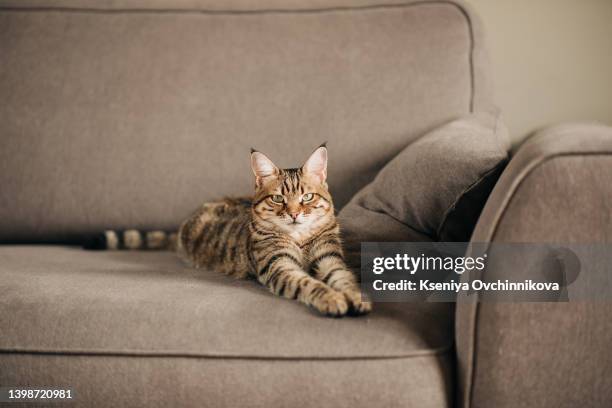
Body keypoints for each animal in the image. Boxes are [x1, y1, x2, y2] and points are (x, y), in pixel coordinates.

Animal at [86, 145, 370, 318]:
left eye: (307, 197)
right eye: (278, 198)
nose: (294, 214)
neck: (298, 238)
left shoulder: (329, 257)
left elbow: (343, 278)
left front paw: (355, 297)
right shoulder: (280, 266)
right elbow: (309, 283)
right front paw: (333, 299)